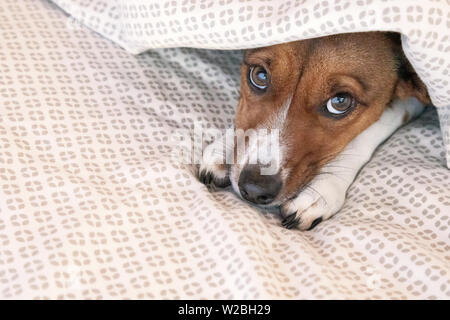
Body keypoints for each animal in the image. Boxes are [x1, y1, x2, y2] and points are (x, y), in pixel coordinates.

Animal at [199, 32, 430, 231]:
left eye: (340, 102)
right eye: (259, 75)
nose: (255, 190)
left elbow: (375, 125)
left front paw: (321, 189)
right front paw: (223, 149)